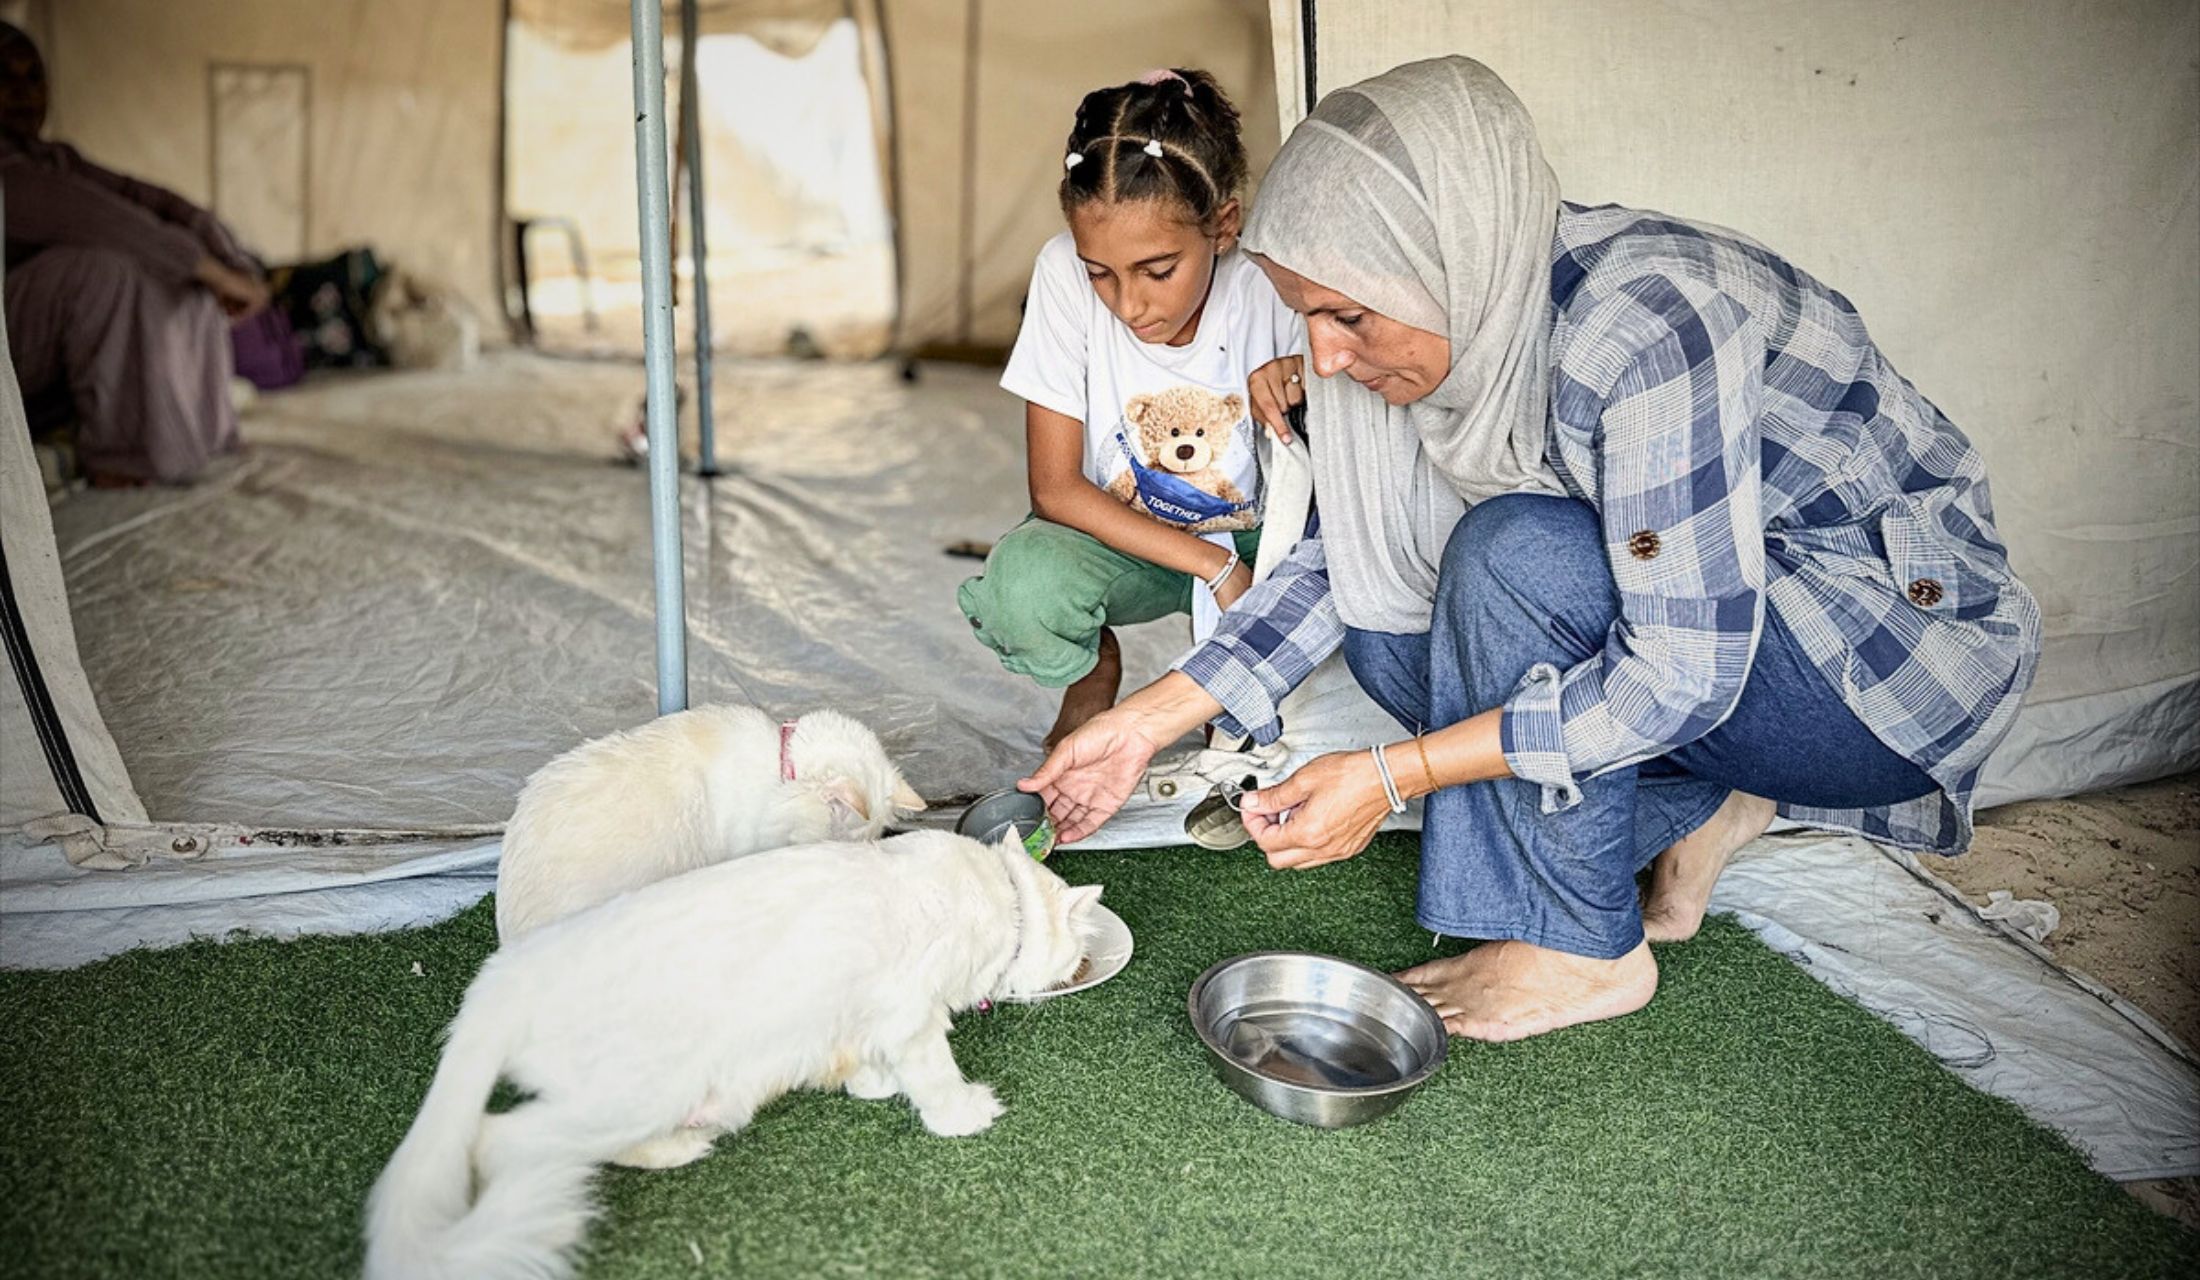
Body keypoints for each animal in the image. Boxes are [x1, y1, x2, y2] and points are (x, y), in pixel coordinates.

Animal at [371, 831, 1117, 1280]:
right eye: (1078, 953)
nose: (1082, 965)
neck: (1002, 896)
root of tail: (500, 981)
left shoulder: (855, 1018)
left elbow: (863, 1062)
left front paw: (870, 1085)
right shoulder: (911, 1014)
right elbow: (934, 1077)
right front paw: (964, 1114)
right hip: (638, 1091)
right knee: (503, 1141)